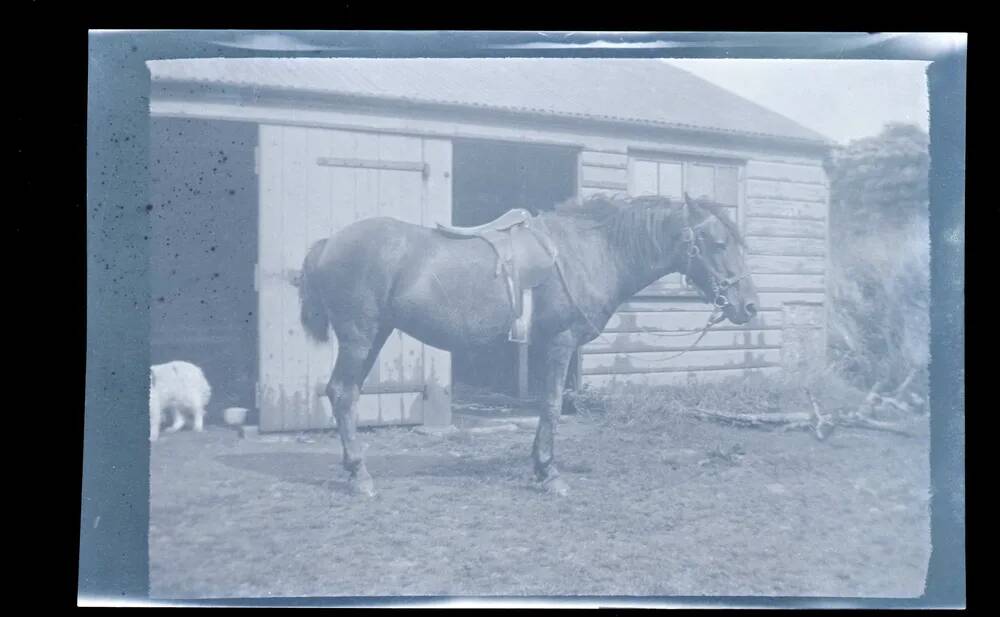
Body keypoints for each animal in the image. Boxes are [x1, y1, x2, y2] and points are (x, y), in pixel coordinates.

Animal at [296, 192, 756, 496]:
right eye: (719, 243)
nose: (747, 306)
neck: (586, 252)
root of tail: (327, 244)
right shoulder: (559, 343)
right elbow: (551, 406)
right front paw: (549, 473)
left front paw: (539, 465)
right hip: (359, 336)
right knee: (341, 393)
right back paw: (360, 476)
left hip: (376, 335)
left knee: (346, 393)